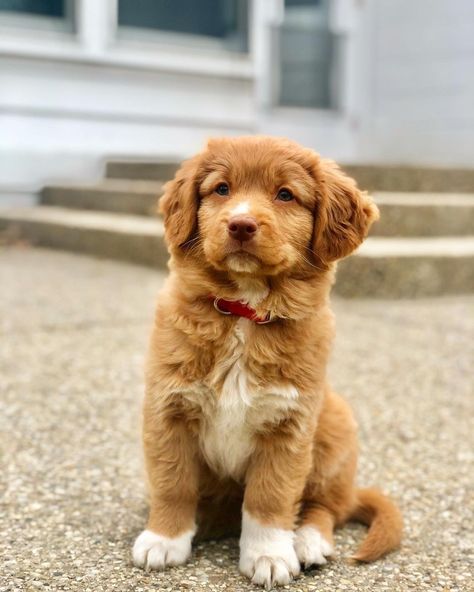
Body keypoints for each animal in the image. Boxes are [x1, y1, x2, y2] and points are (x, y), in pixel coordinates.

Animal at [131, 135, 402, 588]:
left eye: (286, 195)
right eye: (222, 189)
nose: (241, 224)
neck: (244, 310)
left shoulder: (289, 423)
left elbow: (270, 496)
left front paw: (269, 555)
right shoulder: (168, 410)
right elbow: (173, 483)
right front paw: (164, 539)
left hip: (333, 426)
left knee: (325, 507)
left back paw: (308, 542)